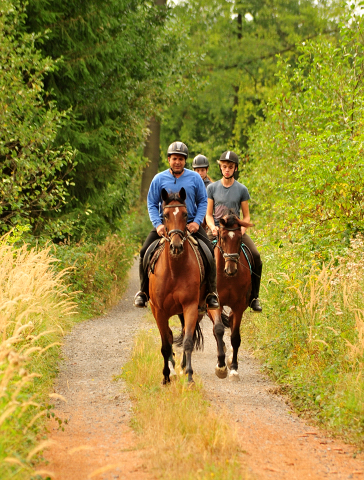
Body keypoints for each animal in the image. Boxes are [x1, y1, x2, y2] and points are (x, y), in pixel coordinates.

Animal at [148, 188, 205, 386]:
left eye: (186, 214)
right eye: (165, 215)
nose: (177, 246)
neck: (175, 270)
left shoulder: (190, 307)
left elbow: (187, 341)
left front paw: (189, 377)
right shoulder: (159, 310)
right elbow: (165, 345)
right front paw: (165, 377)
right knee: (169, 337)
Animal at [208, 210, 253, 382]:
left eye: (240, 238)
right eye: (223, 237)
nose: (231, 269)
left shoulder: (239, 305)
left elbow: (235, 337)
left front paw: (233, 369)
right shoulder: (216, 304)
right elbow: (219, 329)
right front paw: (220, 367)